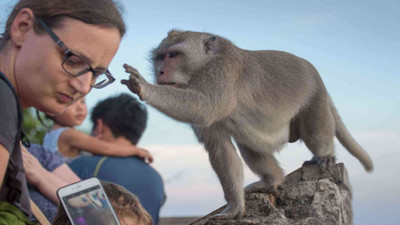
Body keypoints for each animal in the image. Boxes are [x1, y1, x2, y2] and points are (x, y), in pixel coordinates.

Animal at [120, 29, 374, 220]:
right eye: (159, 57)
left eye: (173, 55)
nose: (160, 72)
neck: (204, 62)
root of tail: (318, 77)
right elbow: (221, 149)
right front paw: (234, 207)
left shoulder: (219, 74)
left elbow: (203, 107)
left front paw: (144, 87)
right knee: (248, 144)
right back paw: (272, 180)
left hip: (315, 98)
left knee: (315, 133)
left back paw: (324, 155)